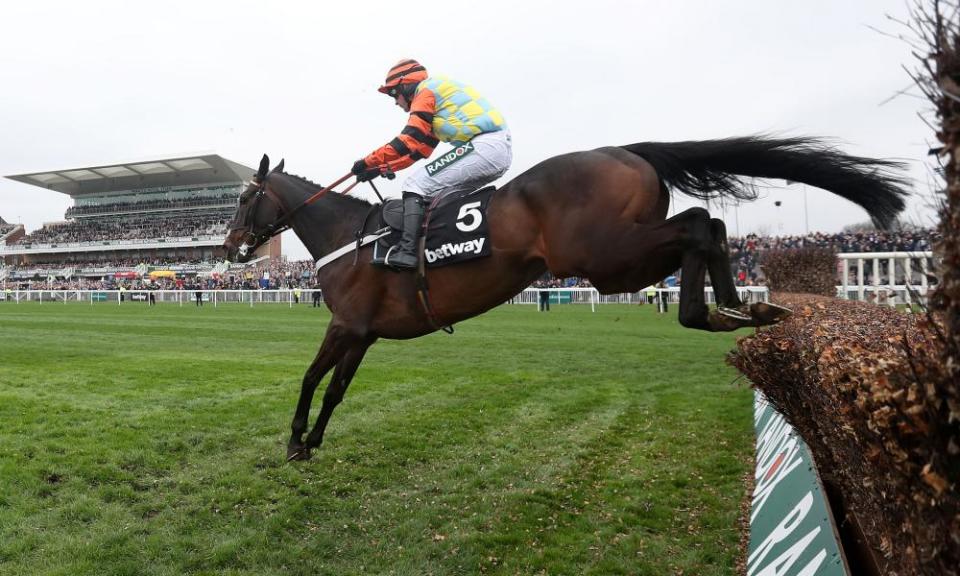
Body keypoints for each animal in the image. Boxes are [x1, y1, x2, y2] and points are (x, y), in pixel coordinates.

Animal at [223, 134, 908, 460]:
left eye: (241, 198)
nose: (230, 247)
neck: (349, 237)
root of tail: (625, 150)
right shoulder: (363, 333)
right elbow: (336, 388)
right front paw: (313, 442)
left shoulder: (344, 324)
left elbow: (310, 379)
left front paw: (293, 441)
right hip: (620, 259)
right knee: (705, 226)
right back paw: (742, 306)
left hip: (606, 257)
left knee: (698, 226)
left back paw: (710, 310)